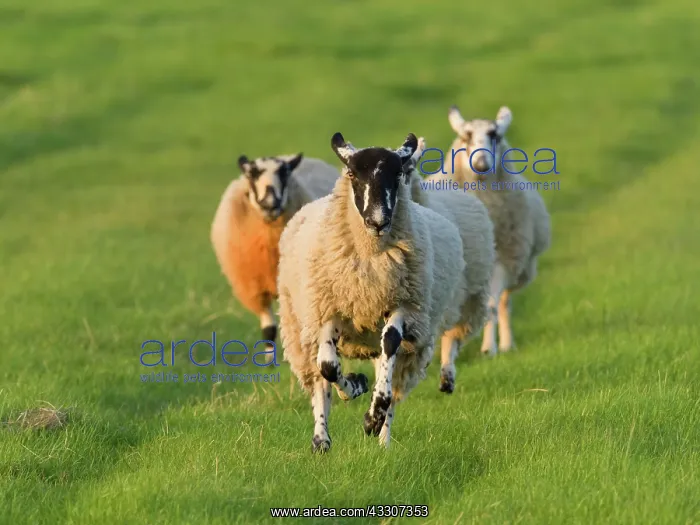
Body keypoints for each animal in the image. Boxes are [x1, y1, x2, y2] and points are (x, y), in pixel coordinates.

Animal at [210, 153, 339, 362]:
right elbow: (269, 330)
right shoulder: (257, 290)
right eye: (252, 174)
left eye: (284, 173)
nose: (270, 203)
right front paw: (269, 363)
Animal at [277, 132, 468, 452]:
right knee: (318, 382)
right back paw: (322, 440)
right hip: (299, 329)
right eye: (352, 173)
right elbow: (328, 367)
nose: (378, 221)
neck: (371, 265)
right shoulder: (328, 309)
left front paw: (373, 417)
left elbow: (390, 345)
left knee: (390, 376)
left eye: (398, 173)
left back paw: (382, 437)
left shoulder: (403, 306)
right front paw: (354, 386)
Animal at [440, 105, 552, 355]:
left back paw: (507, 344)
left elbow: (492, 306)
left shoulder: (503, 261)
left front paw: (488, 349)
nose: (481, 164)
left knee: (503, 303)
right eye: (466, 136)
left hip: (518, 267)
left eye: (496, 135)